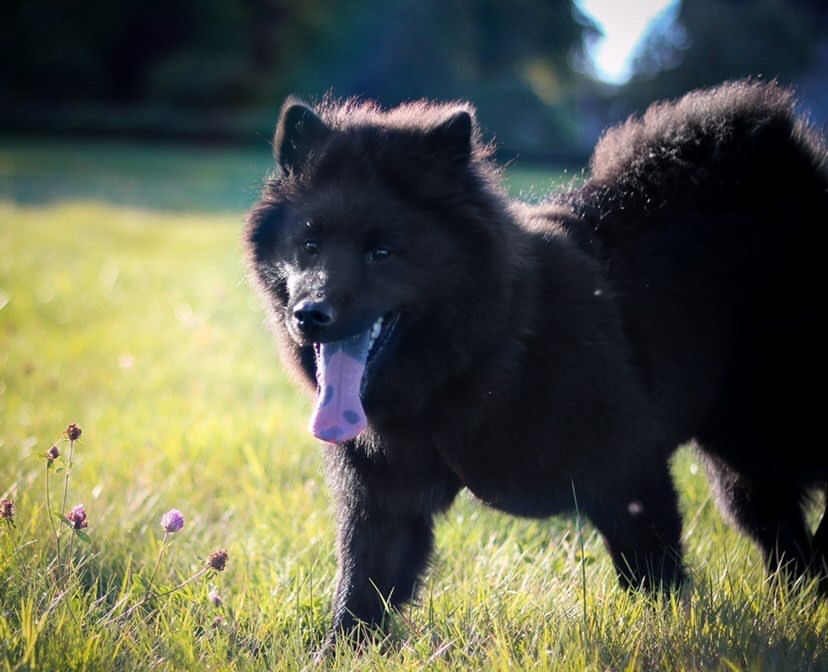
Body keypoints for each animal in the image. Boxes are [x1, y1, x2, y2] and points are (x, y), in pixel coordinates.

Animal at [246, 81, 828, 648]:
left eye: (381, 253)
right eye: (309, 245)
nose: (310, 314)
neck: (479, 360)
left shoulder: (628, 471)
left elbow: (652, 575)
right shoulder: (383, 497)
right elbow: (361, 589)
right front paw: (336, 652)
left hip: (769, 436)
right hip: (744, 465)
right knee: (783, 537)